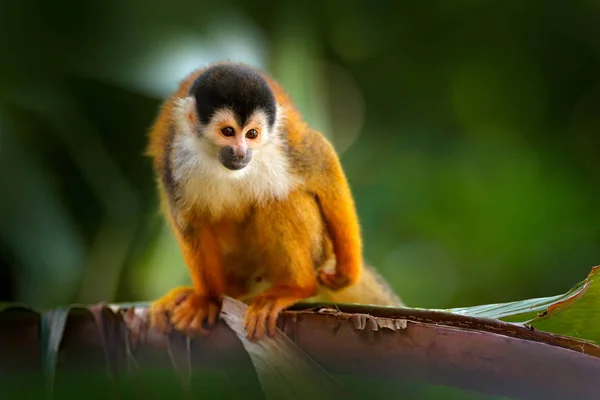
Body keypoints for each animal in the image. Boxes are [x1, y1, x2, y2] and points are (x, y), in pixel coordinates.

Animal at [145, 61, 400, 340]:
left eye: (252, 134)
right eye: (228, 132)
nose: (241, 152)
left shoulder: (283, 144)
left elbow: (322, 162)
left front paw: (347, 272)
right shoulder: (175, 161)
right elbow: (191, 223)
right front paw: (207, 300)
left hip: (317, 251)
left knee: (279, 199)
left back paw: (297, 288)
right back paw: (226, 292)